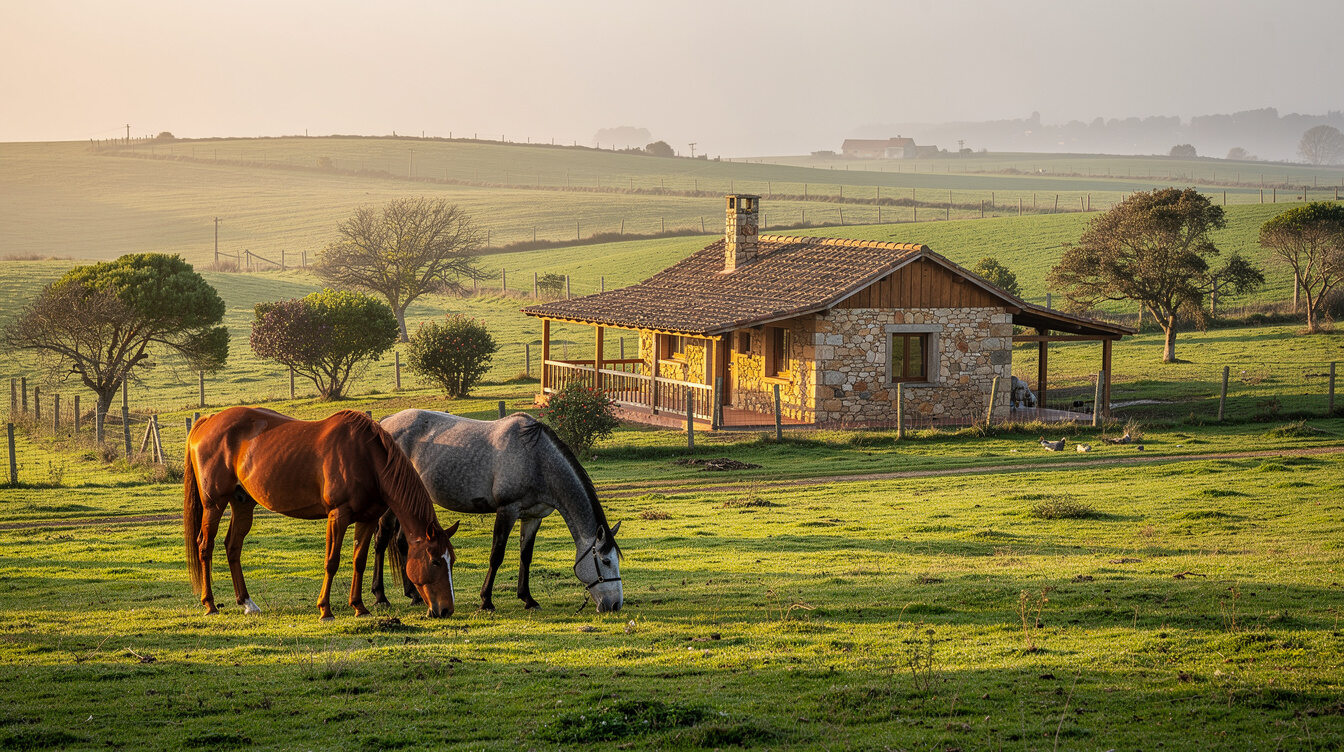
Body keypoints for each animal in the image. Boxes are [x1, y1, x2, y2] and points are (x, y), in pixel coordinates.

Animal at [183, 407, 460, 620]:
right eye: (435, 561)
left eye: (452, 561)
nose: (446, 610)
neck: (365, 457)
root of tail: (208, 420)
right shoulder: (338, 515)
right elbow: (332, 561)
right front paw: (325, 610)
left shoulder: (368, 519)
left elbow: (359, 561)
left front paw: (359, 607)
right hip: (213, 504)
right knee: (205, 546)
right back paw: (210, 604)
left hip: (242, 504)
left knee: (233, 547)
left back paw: (247, 603)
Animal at [371, 409, 623, 613]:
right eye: (605, 561)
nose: (615, 605)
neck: (536, 458)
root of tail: (386, 423)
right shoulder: (507, 511)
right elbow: (497, 555)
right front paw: (486, 601)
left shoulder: (533, 517)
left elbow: (526, 556)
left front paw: (528, 599)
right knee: (382, 539)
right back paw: (381, 596)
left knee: (402, 542)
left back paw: (414, 595)